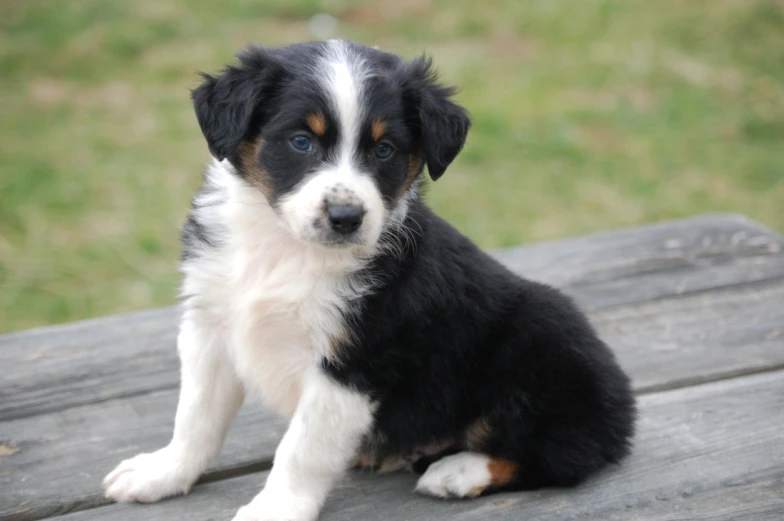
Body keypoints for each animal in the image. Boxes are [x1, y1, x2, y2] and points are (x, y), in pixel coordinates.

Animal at [101, 40, 632, 520]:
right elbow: (195, 417)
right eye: (301, 141)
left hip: (542, 338)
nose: (345, 217)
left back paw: (457, 472)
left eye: (384, 150)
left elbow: (301, 450)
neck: (285, 250)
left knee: (566, 454)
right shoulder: (210, 325)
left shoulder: (352, 361)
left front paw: (273, 509)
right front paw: (162, 472)